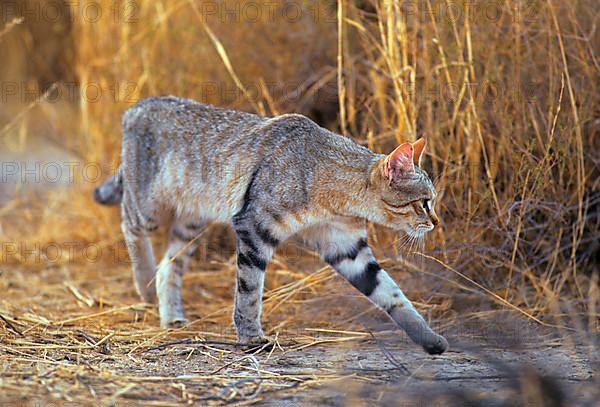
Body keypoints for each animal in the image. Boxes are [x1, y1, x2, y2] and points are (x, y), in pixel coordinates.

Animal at [95, 95, 450, 354]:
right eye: (424, 202)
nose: (435, 221)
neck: (335, 196)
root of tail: (138, 104)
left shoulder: (346, 246)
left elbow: (391, 292)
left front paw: (428, 337)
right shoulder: (254, 226)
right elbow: (250, 290)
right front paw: (251, 336)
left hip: (193, 220)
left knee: (170, 264)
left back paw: (170, 313)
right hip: (148, 206)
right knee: (128, 222)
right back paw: (143, 283)